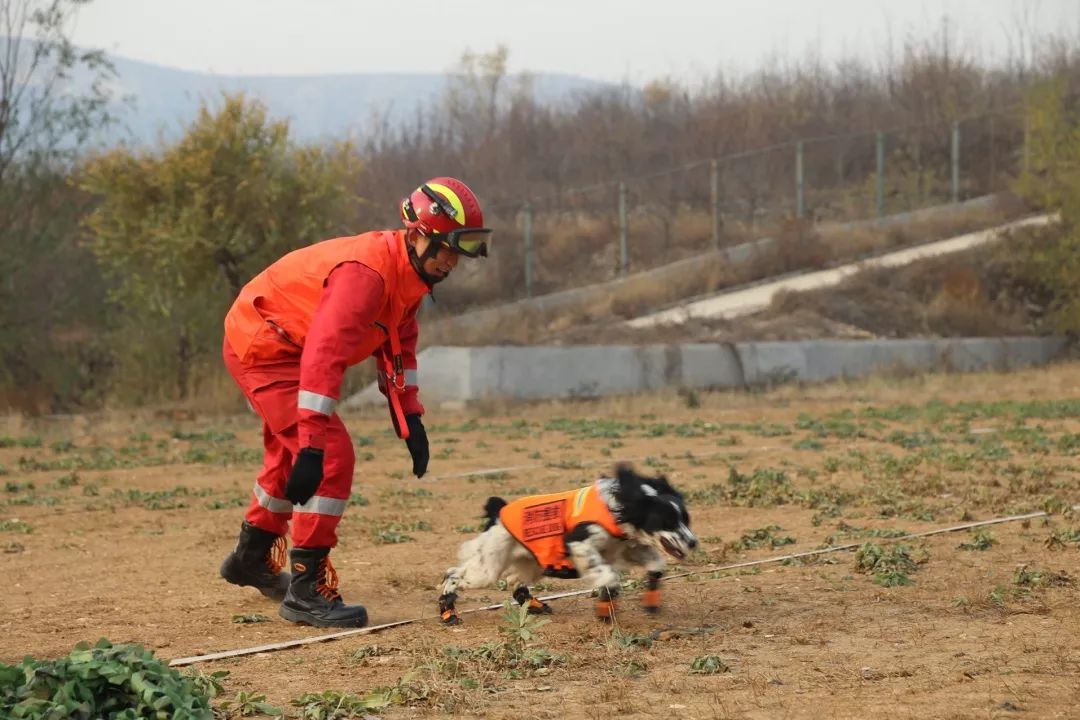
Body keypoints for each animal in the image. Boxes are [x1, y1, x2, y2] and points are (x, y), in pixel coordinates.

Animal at [438, 464, 699, 621]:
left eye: (686, 519)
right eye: (667, 521)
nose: (693, 542)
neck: (620, 505)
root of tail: (498, 511)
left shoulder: (627, 547)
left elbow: (655, 565)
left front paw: (651, 601)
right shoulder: (580, 544)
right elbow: (608, 576)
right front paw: (606, 607)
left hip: (532, 563)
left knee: (514, 581)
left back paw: (535, 605)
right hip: (489, 566)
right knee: (453, 575)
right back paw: (448, 611)